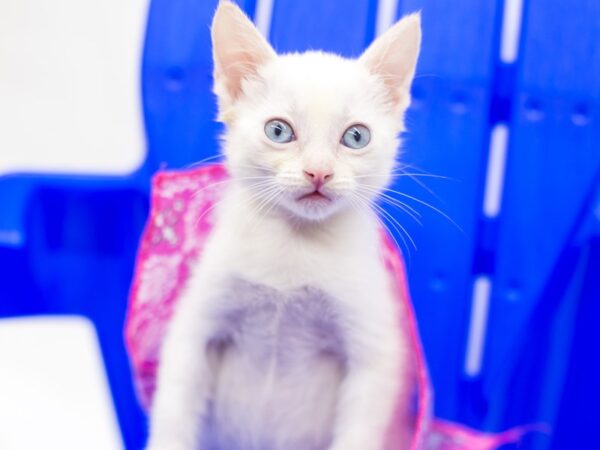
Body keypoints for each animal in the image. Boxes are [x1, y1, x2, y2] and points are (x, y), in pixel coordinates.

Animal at [147, 1, 420, 448]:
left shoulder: (375, 355)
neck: (294, 244)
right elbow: (174, 410)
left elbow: (360, 426)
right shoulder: (193, 327)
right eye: (278, 131)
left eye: (356, 137)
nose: (319, 172)